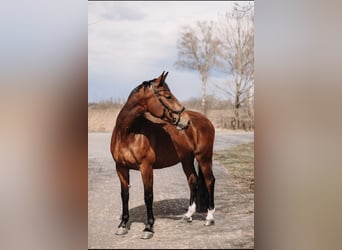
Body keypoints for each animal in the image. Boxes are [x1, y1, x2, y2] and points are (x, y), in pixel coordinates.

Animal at [111, 71, 215, 239]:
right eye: (168, 96)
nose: (186, 121)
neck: (128, 133)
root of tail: (206, 120)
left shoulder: (146, 168)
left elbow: (148, 196)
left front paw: (148, 228)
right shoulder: (120, 168)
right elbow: (124, 194)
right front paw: (123, 225)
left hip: (204, 157)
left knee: (209, 181)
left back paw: (210, 217)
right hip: (186, 159)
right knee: (193, 181)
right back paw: (188, 215)